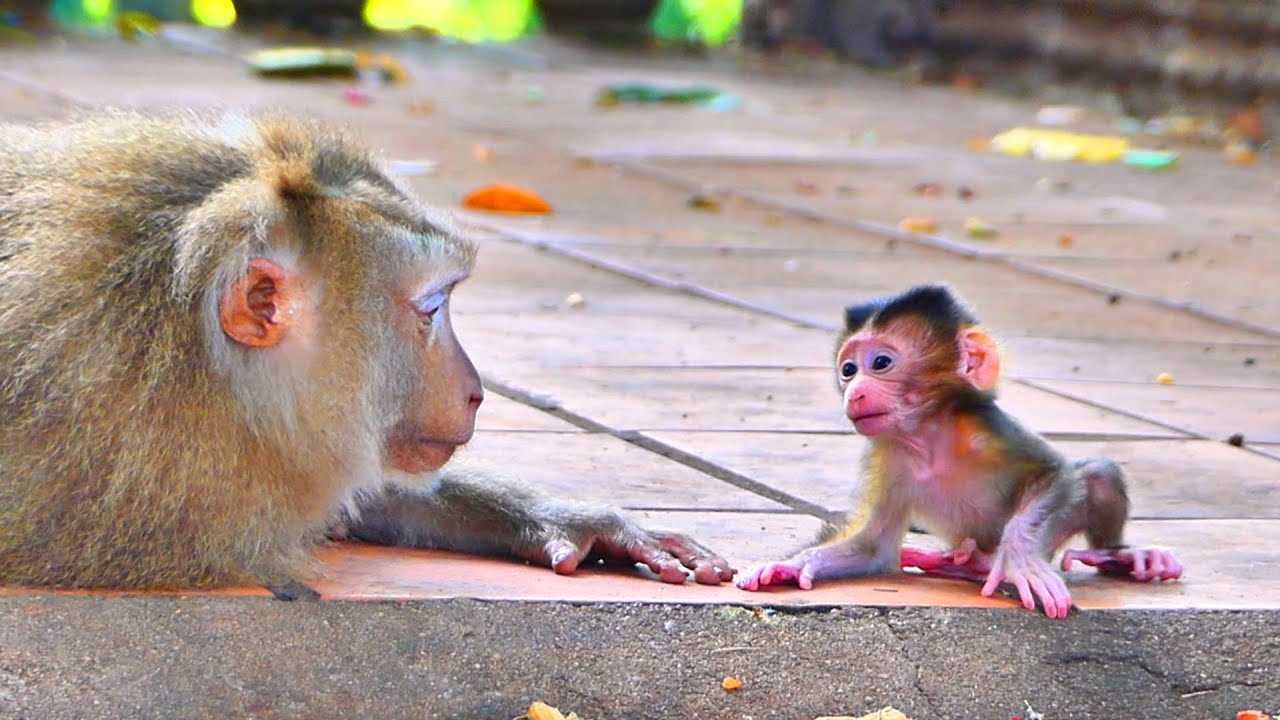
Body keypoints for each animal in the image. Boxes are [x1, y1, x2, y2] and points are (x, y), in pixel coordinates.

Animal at [735, 284, 1181, 618]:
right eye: (848, 370)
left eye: (880, 363)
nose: (855, 391)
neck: (927, 437)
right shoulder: (887, 457)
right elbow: (873, 545)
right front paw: (793, 565)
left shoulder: (983, 428)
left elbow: (1055, 474)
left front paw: (1019, 556)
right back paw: (958, 564)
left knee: (1096, 475)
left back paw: (1121, 557)